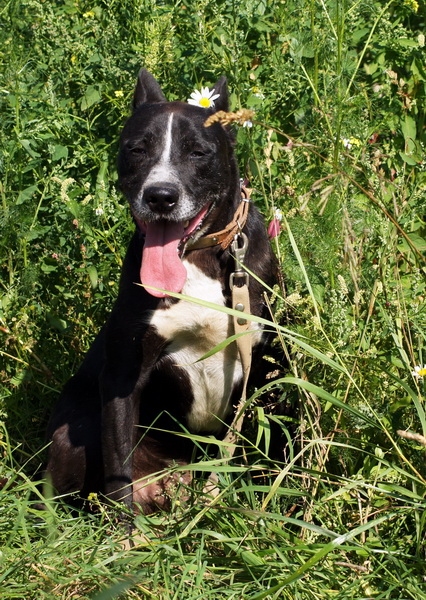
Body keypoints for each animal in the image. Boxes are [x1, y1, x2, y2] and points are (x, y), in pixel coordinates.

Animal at [46, 69, 279, 514]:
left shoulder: (267, 365)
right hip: (72, 432)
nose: (161, 196)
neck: (197, 259)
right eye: (137, 149)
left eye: (198, 152)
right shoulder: (123, 377)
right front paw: (123, 533)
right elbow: (118, 472)